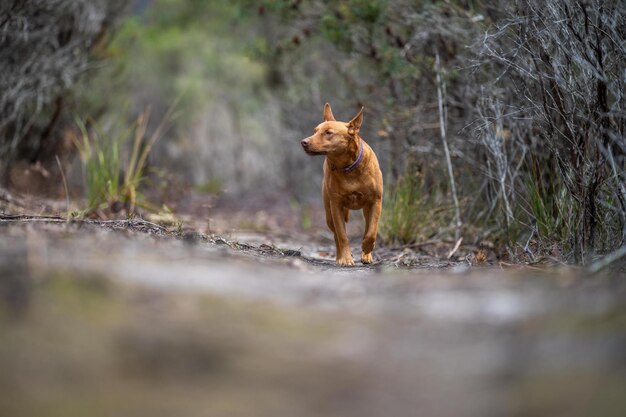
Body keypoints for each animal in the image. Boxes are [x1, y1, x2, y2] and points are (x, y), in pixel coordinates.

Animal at [302, 104, 382, 266]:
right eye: (315, 131)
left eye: (328, 133)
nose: (304, 142)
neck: (348, 168)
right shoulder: (336, 206)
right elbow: (342, 236)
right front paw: (345, 258)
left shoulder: (376, 202)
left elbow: (371, 232)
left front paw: (366, 249)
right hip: (329, 214)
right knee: (336, 236)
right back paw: (340, 257)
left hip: (366, 209)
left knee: (367, 227)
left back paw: (366, 255)